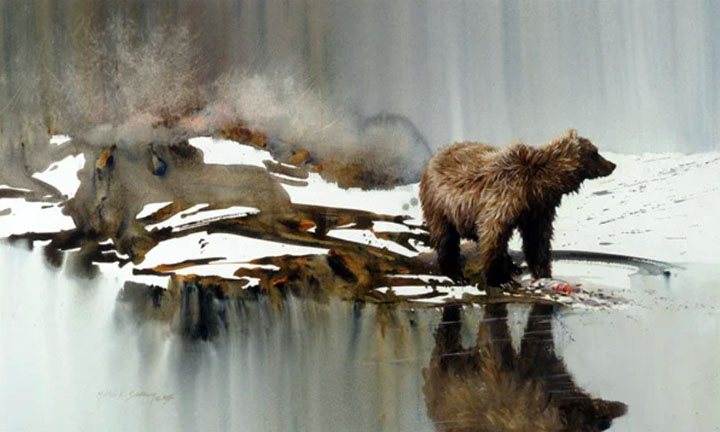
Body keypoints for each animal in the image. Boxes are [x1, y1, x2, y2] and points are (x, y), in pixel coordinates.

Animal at [419, 129, 616, 286]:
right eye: (595, 152)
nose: (612, 165)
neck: (539, 184)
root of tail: (432, 158)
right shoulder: (505, 196)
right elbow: (493, 232)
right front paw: (500, 279)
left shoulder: (537, 208)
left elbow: (537, 240)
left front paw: (543, 273)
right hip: (440, 204)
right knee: (446, 238)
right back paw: (456, 274)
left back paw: (513, 266)